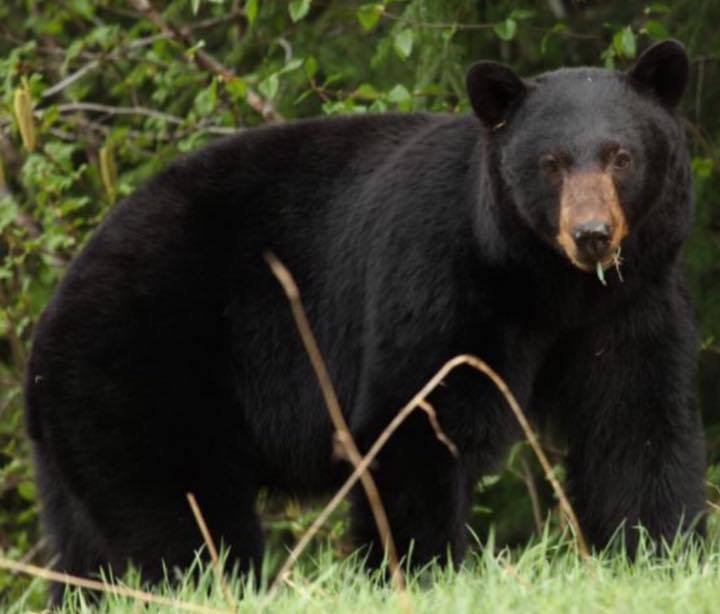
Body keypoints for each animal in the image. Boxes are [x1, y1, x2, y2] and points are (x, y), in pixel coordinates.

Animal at [25, 39, 706, 600]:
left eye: (621, 157)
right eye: (552, 162)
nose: (591, 235)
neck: (546, 283)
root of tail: (54, 309)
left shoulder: (631, 303)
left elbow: (636, 422)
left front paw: (657, 553)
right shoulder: (436, 274)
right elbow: (414, 419)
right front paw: (420, 572)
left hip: (78, 433)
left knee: (85, 545)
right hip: (141, 373)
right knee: (183, 516)